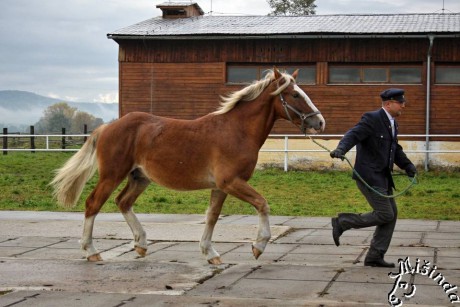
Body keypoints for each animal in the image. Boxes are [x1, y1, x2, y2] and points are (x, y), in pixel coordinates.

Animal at [50, 68, 326, 266]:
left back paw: (141, 244)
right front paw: (258, 246)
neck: (236, 131)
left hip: (139, 178)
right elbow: (262, 204)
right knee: (93, 204)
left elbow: (212, 216)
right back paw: (91, 251)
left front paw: (210, 253)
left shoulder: (221, 187)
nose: (320, 122)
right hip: (112, 175)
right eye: (295, 95)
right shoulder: (231, 182)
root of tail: (107, 127)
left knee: (123, 202)